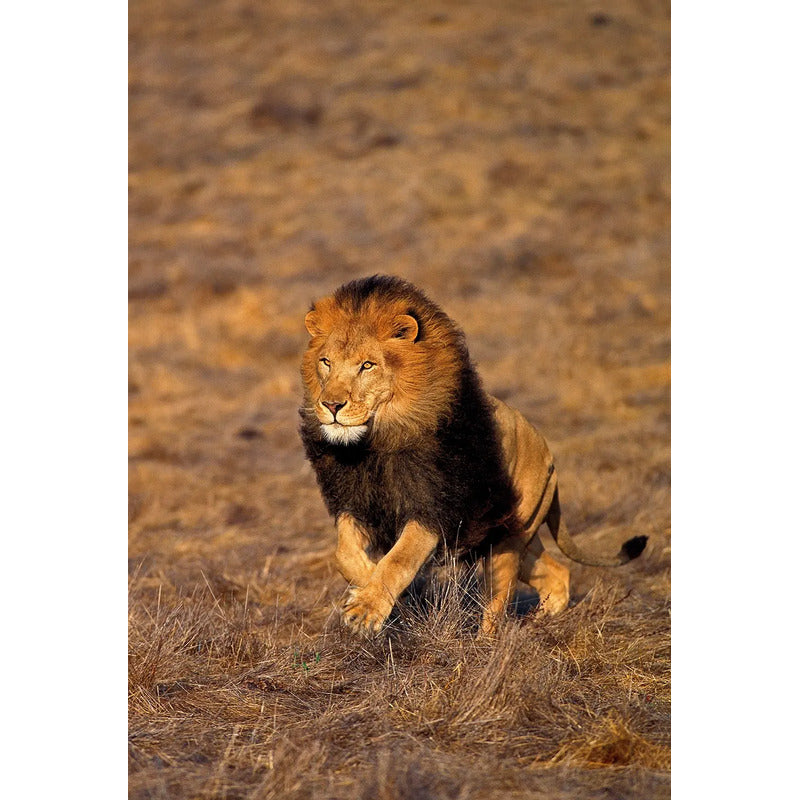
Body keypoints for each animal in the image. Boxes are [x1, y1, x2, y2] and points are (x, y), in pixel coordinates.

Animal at [299, 275, 646, 636]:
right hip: (518, 540)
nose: (331, 405)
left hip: (507, 538)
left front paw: (366, 607)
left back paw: (489, 642)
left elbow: (399, 559)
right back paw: (541, 621)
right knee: (557, 574)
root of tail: (550, 456)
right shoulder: (353, 501)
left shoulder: (433, 508)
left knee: (497, 605)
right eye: (326, 362)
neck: (378, 441)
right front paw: (375, 591)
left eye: (366, 365)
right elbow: (344, 553)